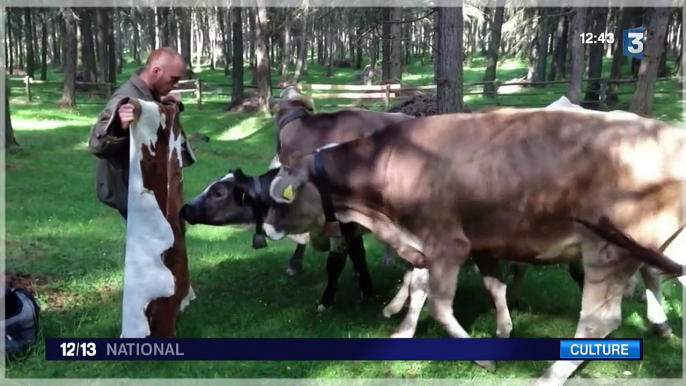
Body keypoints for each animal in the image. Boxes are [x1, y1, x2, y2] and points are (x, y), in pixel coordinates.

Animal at [264, 106, 686, 386]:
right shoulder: (445, 245)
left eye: (282, 197)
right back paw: (663, 328)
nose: (266, 228)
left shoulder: (448, 243)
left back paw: (549, 375)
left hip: (610, 250)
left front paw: (483, 358)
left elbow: (439, 306)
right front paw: (408, 330)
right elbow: (458, 288)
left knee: (600, 321)